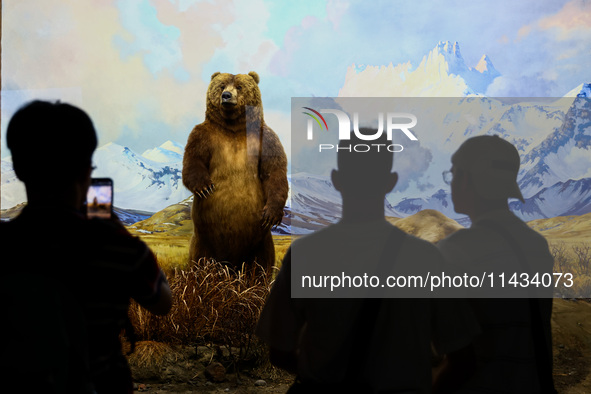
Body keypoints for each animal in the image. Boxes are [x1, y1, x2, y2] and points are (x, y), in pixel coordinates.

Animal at [183, 71, 290, 270]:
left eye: (239, 86)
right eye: (222, 85)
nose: (226, 96)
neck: (233, 127)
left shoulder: (266, 139)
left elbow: (274, 171)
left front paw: (271, 214)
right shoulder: (203, 136)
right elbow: (193, 160)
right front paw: (205, 187)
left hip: (260, 243)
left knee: (261, 262)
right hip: (203, 239)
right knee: (200, 259)